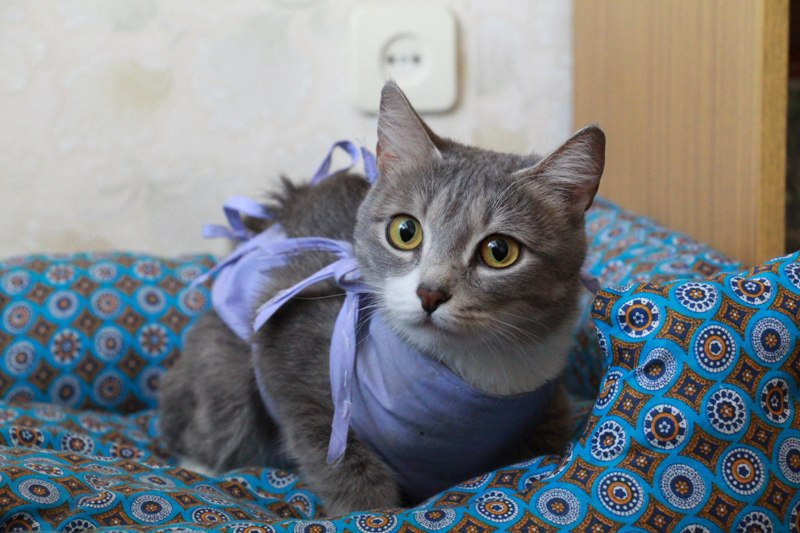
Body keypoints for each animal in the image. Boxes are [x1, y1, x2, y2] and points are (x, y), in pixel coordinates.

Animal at [158, 81, 605, 516]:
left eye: (499, 251)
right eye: (405, 231)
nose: (430, 293)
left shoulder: (549, 404)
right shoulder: (294, 347)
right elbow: (338, 459)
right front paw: (368, 512)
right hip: (226, 376)